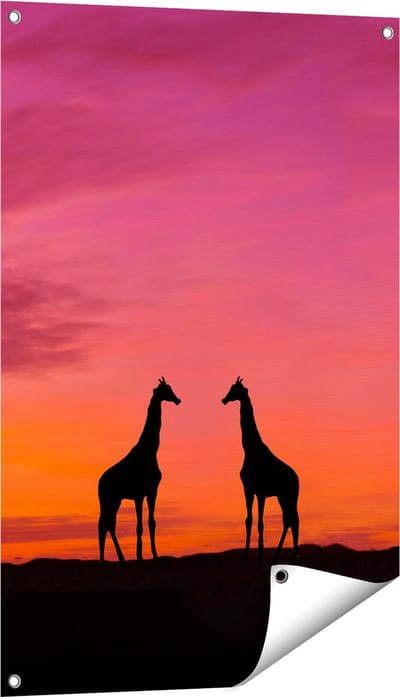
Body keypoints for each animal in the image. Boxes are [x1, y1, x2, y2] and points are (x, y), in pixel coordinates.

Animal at [98, 377, 181, 564]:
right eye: (165, 390)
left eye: (171, 388)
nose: (178, 400)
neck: (150, 450)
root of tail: (99, 483)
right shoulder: (139, 494)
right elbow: (139, 526)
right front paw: (139, 556)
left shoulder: (152, 491)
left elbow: (151, 522)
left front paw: (154, 555)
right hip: (109, 500)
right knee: (106, 524)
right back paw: (116, 560)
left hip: (114, 501)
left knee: (106, 524)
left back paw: (112, 560)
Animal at [221, 377, 299, 562]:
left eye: (235, 390)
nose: (224, 400)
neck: (249, 449)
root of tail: (297, 479)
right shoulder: (248, 489)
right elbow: (248, 520)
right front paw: (245, 554)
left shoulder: (261, 493)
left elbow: (261, 523)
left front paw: (260, 554)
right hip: (282, 497)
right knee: (289, 520)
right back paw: (281, 556)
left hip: (290, 496)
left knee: (293, 520)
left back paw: (291, 557)